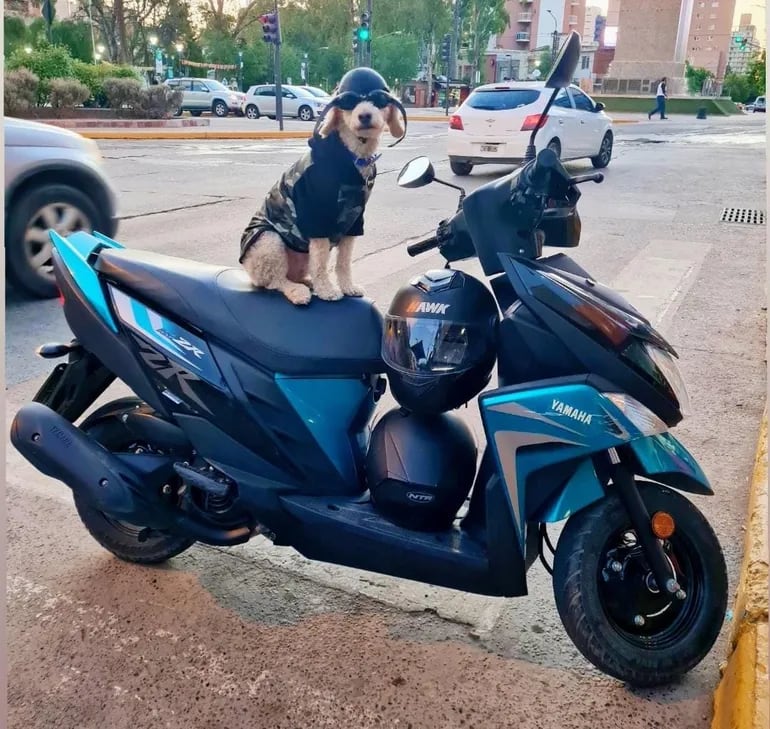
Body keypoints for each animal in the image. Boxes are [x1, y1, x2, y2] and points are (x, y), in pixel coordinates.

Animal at [238, 68, 408, 304]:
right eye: (348, 103)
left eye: (379, 101)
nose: (364, 115)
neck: (352, 155)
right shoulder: (317, 217)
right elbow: (320, 262)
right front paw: (327, 290)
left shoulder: (354, 221)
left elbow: (343, 262)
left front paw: (348, 286)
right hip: (268, 242)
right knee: (275, 280)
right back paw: (297, 291)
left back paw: (307, 283)